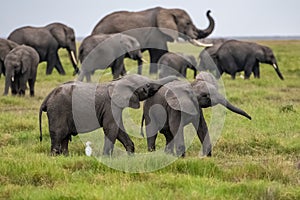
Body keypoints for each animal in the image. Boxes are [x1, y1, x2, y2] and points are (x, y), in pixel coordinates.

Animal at [38, 74, 177, 155]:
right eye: (147, 85)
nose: (178, 78)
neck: (118, 81)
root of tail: (47, 98)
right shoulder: (110, 106)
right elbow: (111, 128)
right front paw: (106, 157)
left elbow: (119, 129)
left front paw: (130, 153)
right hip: (58, 109)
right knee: (59, 133)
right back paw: (55, 156)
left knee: (65, 136)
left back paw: (66, 156)